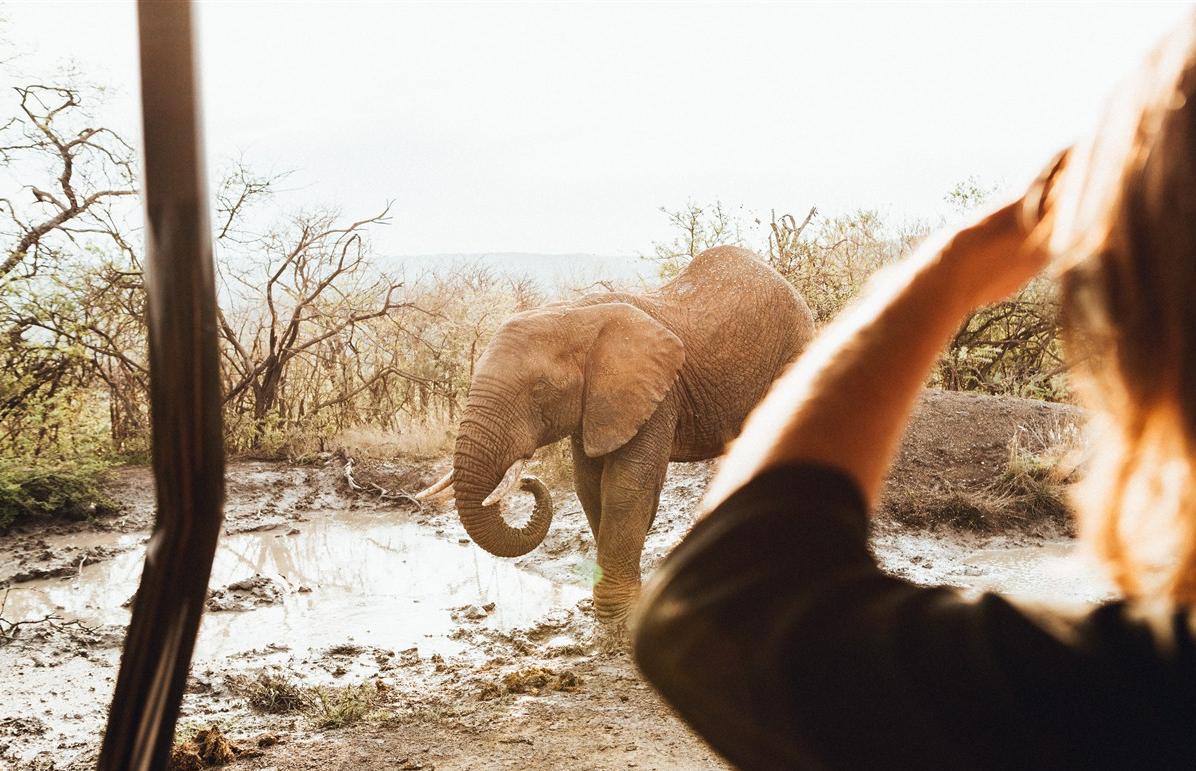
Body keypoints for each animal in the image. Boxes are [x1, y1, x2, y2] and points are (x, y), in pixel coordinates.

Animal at [416, 248, 818, 626]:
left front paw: (618, 614)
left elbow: (626, 487)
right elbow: (588, 485)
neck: (575, 314)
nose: (528, 480)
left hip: (796, 349)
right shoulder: (595, 405)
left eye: (540, 390)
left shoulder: (654, 396)